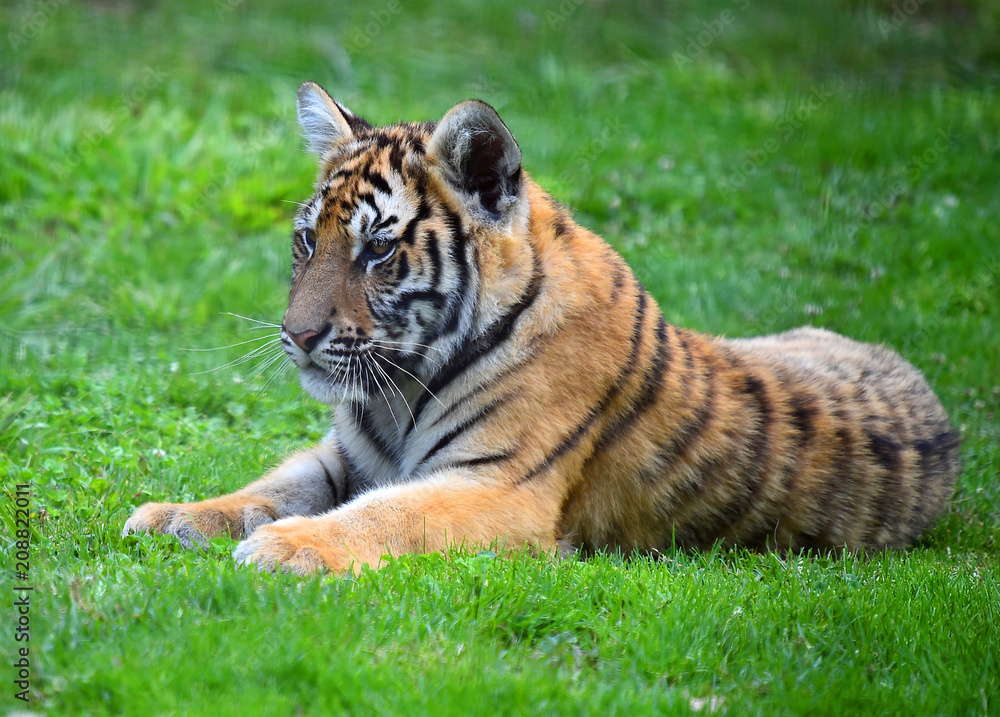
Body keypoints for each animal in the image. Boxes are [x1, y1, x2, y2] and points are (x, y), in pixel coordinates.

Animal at [123, 81, 961, 575]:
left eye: (379, 248)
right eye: (307, 240)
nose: (296, 337)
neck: (400, 386)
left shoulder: (497, 485)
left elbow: (385, 515)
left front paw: (285, 546)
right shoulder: (345, 455)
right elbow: (269, 484)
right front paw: (172, 515)